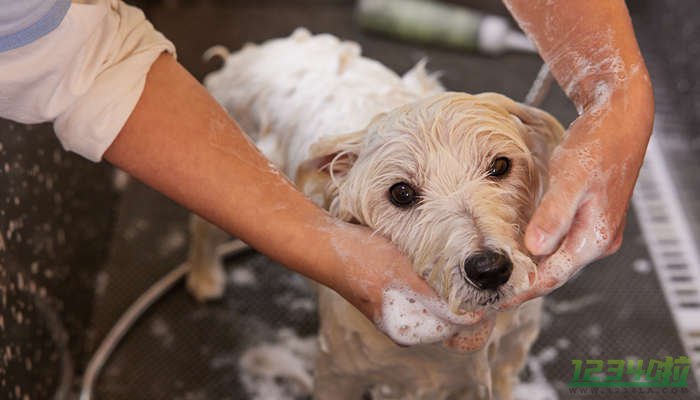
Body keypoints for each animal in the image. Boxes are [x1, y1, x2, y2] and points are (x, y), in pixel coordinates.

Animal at [189, 28, 568, 400]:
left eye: (500, 165)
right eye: (401, 193)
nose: (489, 269)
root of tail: (260, 50)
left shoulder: (508, 357)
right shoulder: (338, 374)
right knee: (203, 228)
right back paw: (204, 278)